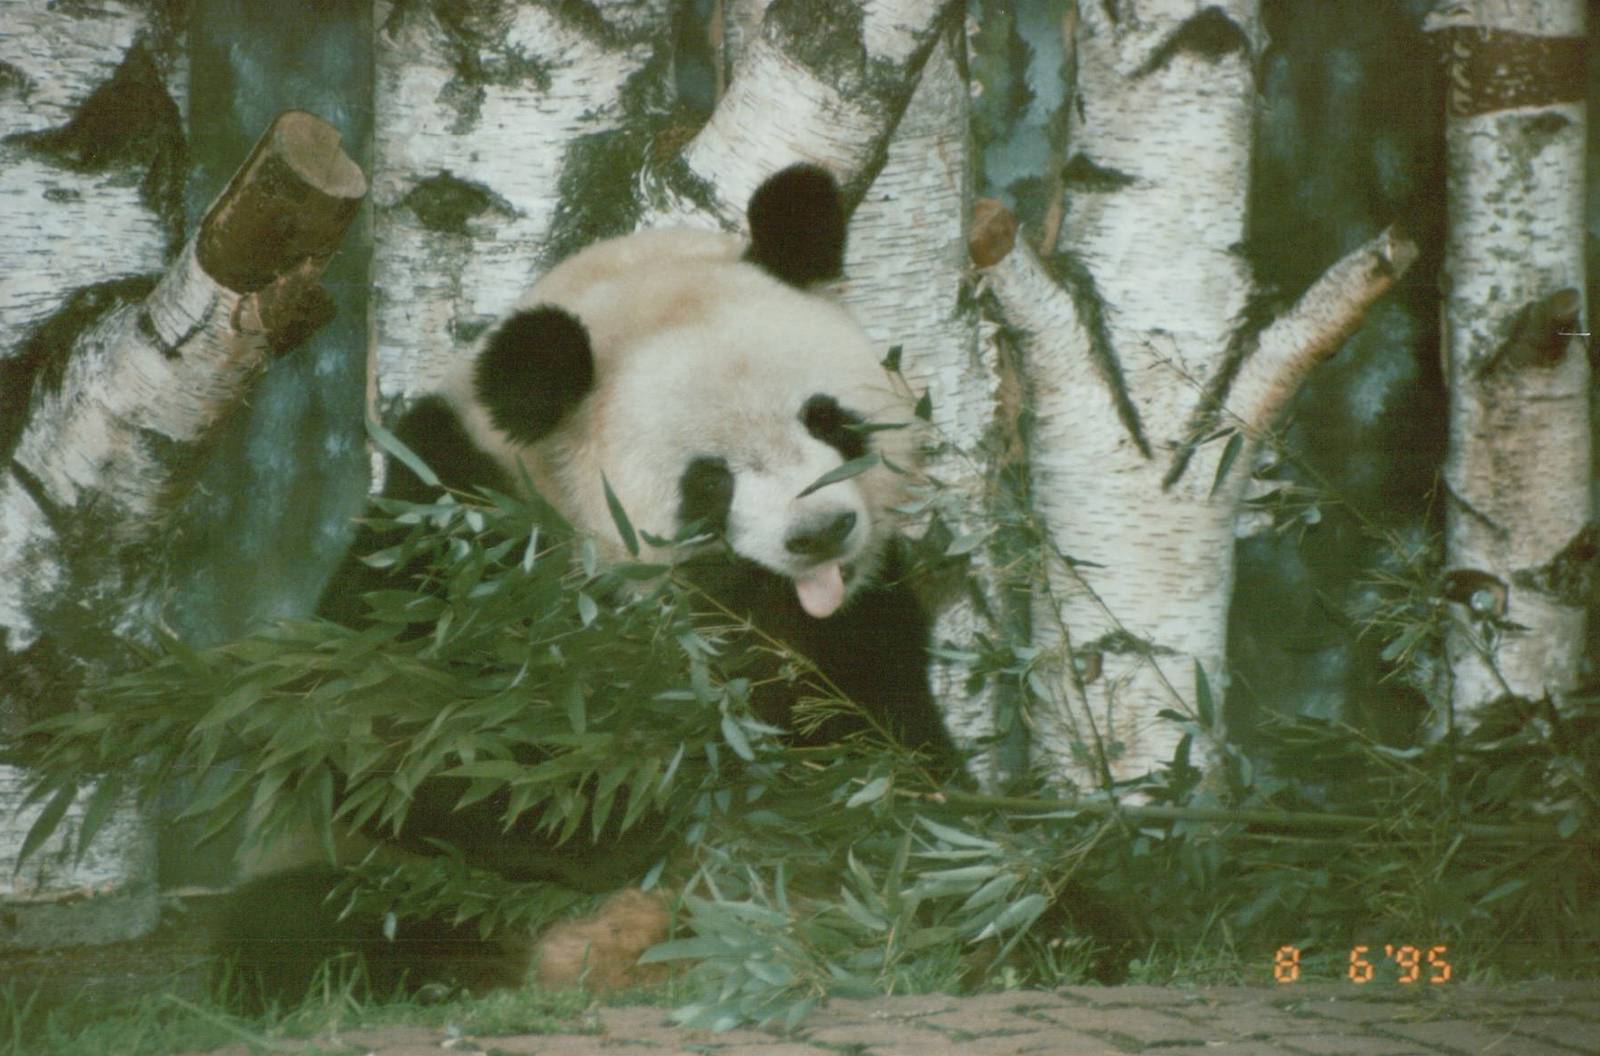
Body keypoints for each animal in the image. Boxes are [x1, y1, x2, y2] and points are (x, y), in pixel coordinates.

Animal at [222, 164, 955, 1005]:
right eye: (710, 481)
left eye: (828, 420)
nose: (821, 532)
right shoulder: (457, 523)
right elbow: (383, 726)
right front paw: (633, 814)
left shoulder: (865, 623)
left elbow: (882, 743)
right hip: (358, 876)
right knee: (305, 927)